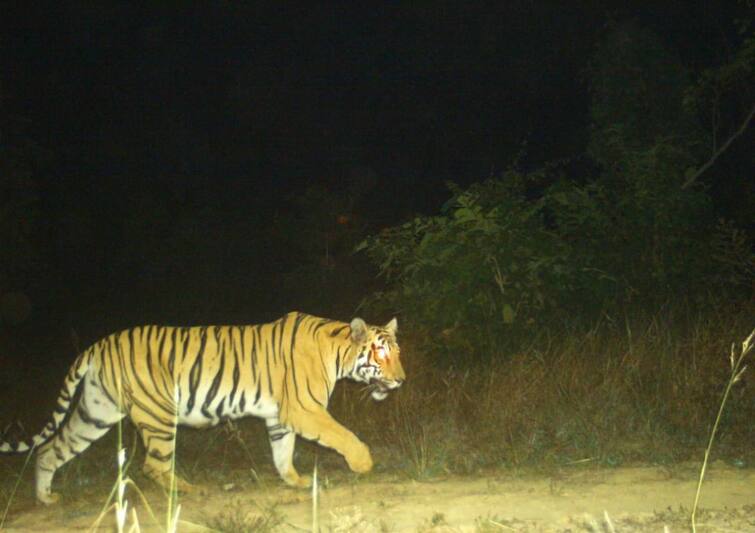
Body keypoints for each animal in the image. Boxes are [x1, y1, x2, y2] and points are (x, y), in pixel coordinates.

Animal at [0, 310, 404, 500]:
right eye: (381, 354)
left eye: (397, 353)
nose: (401, 380)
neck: (336, 350)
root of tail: (97, 345)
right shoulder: (304, 409)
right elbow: (343, 435)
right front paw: (363, 463)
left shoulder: (280, 415)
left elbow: (282, 452)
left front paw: (295, 481)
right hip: (158, 415)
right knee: (153, 465)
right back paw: (190, 491)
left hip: (95, 412)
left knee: (50, 450)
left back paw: (45, 497)